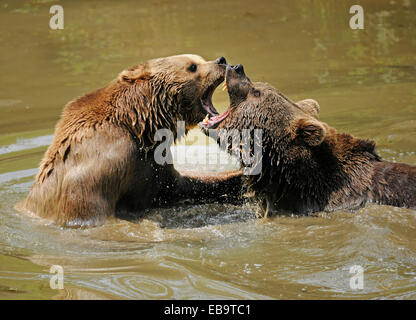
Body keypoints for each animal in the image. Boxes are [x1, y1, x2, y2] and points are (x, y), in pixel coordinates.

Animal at [17, 53, 244, 226]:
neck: (140, 125)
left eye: (199, 58)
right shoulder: (102, 164)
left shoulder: (153, 163)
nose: (221, 60)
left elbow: (182, 184)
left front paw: (239, 178)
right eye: (192, 66)